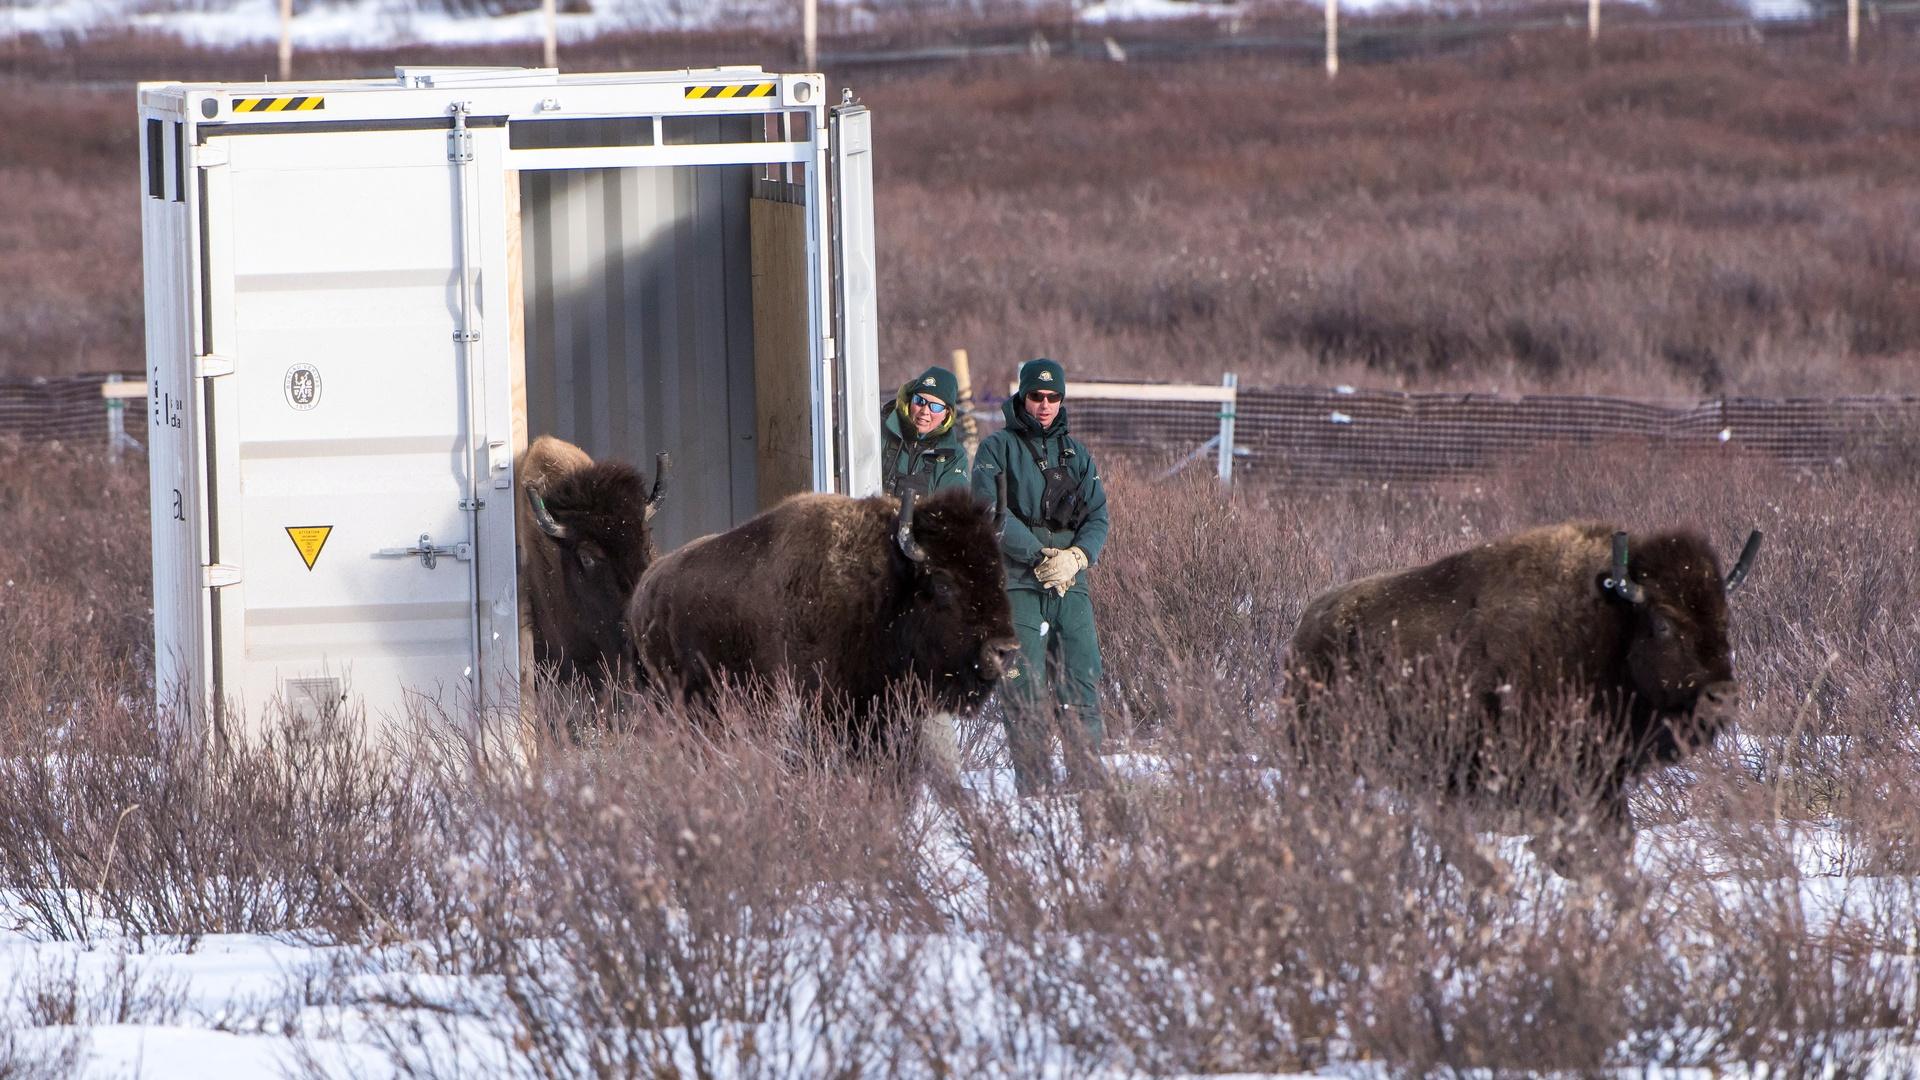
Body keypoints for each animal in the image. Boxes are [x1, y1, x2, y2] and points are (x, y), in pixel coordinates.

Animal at [1289, 521, 1763, 858]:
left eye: (1725, 619)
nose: (1722, 697)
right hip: (1323, 759)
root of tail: (1309, 624)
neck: (1608, 626)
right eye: (1663, 623)